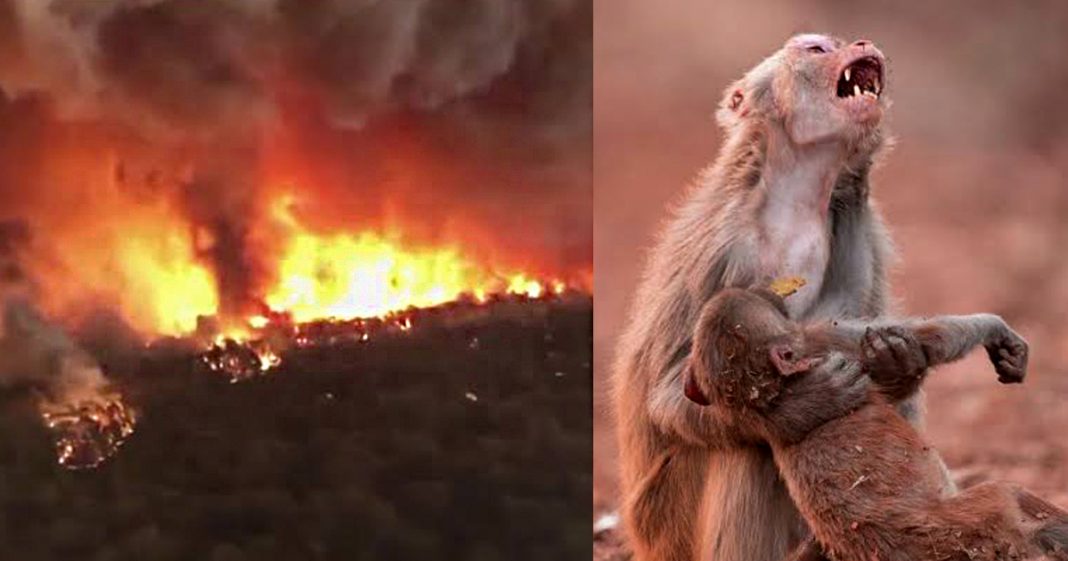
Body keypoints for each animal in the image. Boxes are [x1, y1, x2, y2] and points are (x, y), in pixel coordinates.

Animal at [610, 33, 935, 559]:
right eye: (818, 49)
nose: (860, 42)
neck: (794, 198)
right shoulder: (724, 250)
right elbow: (671, 393)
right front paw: (803, 408)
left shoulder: (857, 226)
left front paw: (896, 360)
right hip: (668, 522)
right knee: (745, 451)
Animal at [683, 286, 1068, 555]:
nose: (770, 290)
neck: (775, 389)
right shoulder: (822, 340)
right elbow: (932, 339)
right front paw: (996, 329)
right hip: (974, 521)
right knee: (1004, 492)